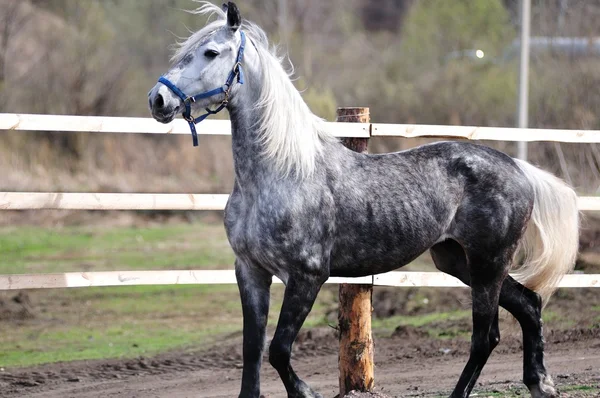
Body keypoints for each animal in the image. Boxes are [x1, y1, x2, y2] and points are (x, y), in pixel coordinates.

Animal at [148, 3, 580, 398]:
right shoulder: (250, 272)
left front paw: (307, 393)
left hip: (487, 263)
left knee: (484, 336)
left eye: (211, 52)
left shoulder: (307, 276)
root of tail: (518, 168)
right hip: (458, 261)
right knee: (528, 305)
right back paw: (541, 383)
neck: (280, 173)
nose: (158, 99)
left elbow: (279, 351)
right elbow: (252, 353)